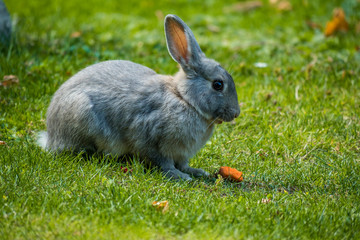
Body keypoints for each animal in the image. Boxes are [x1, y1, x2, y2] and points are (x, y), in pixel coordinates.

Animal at [38, 14, 239, 180]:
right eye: (218, 84)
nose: (236, 113)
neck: (184, 99)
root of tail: (51, 138)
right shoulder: (149, 138)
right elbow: (163, 162)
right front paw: (179, 176)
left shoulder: (181, 153)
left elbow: (183, 164)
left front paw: (196, 172)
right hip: (82, 114)